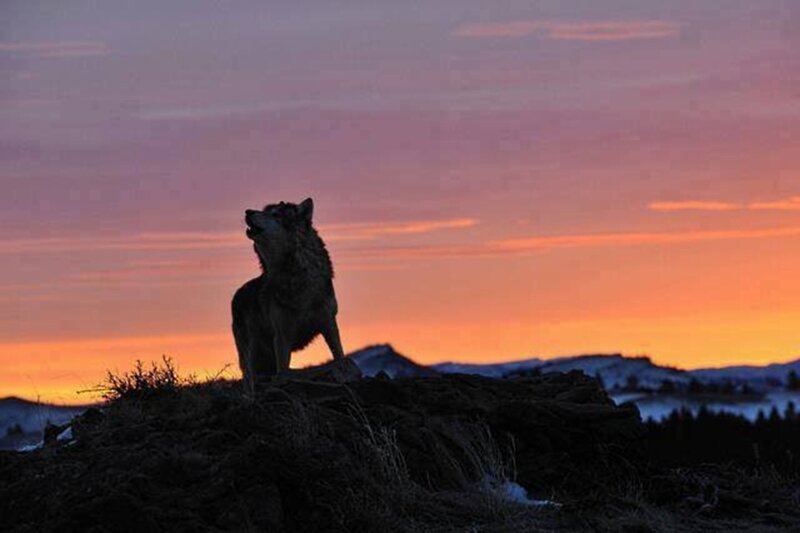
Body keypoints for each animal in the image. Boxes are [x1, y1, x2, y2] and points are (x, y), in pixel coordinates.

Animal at [231, 198, 345, 393]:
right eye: (264, 211)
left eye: (275, 214)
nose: (248, 211)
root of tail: (236, 294)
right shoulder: (282, 336)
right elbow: (283, 372)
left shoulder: (329, 323)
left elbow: (339, 356)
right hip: (249, 356)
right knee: (249, 381)